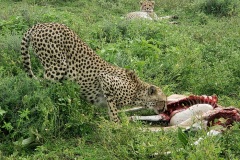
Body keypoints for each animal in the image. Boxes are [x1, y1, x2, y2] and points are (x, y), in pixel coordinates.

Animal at [20, 22, 167, 122]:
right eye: (163, 101)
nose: (165, 109)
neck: (137, 91)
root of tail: (41, 24)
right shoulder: (106, 81)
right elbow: (113, 111)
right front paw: (117, 126)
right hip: (57, 67)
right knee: (42, 90)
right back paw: (49, 106)